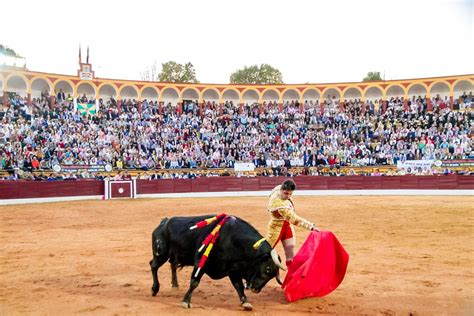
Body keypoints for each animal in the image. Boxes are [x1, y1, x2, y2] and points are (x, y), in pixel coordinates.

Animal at [150, 215, 286, 308]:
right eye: (267, 269)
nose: (256, 289)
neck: (231, 239)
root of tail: (163, 222)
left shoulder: (233, 269)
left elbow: (239, 286)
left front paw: (245, 302)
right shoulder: (201, 262)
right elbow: (194, 282)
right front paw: (186, 301)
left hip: (172, 255)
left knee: (172, 264)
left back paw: (175, 285)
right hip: (161, 254)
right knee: (153, 265)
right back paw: (154, 289)